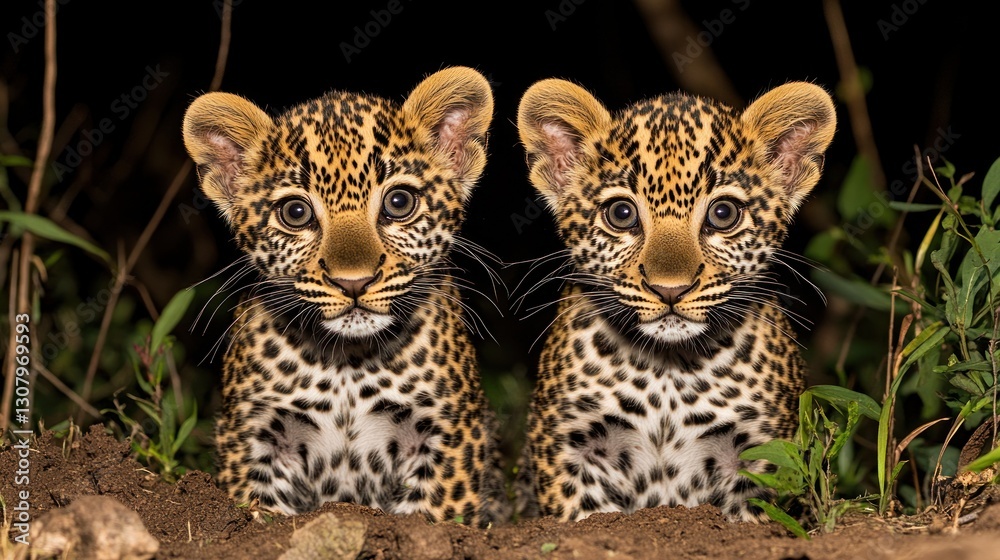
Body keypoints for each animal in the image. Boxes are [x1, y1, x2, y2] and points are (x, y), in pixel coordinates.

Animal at [181, 66, 509, 526]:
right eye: (295, 212)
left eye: (399, 202)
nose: (353, 282)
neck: (347, 364)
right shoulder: (254, 433)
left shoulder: (448, 429)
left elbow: (432, 514)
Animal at [515, 79, 836, 522]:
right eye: (621, 213)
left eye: (723, 213)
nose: (670, 289)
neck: (668, 370)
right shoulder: (569, 445)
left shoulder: (764, 454)